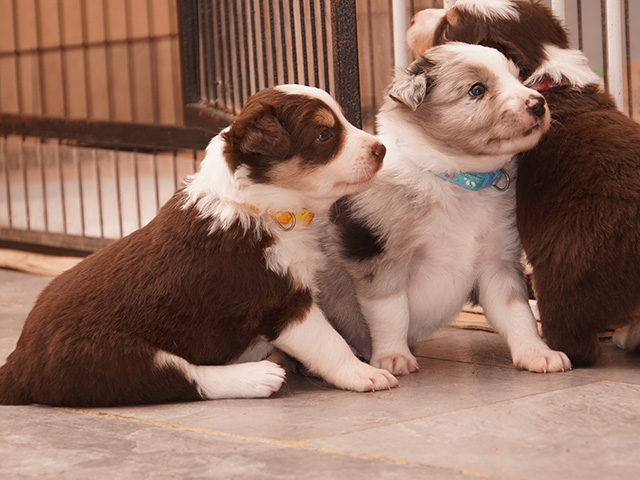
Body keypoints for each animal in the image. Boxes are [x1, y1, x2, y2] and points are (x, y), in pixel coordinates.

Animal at [0, 85, 398, 407]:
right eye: (323, 134)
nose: (382, 149)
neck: (262, 206)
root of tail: (17, 363)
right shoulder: (280, 303)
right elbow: (329, 343)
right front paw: (365, 374)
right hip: (114, 357)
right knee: (186, 377)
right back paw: (260, 376)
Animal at [317, 43, 571, 376]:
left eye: (518, 79)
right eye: (476, 89)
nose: (538, 103)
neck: (457, 179)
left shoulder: (498, 262)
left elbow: (518, 313)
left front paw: (538, 353)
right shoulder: (382, 259)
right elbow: (392, 313)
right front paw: (394, 357)